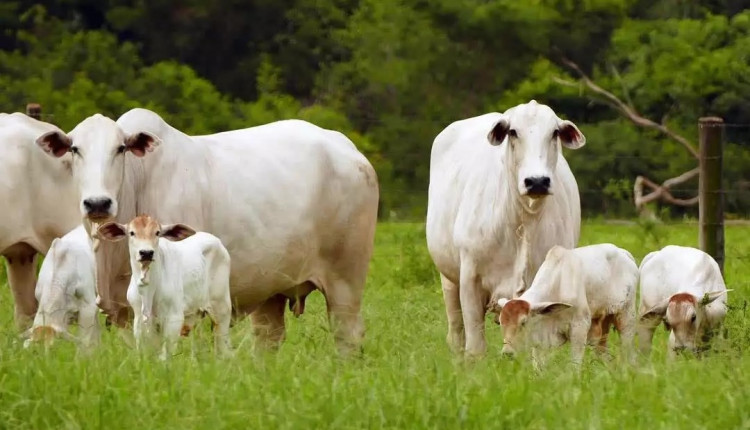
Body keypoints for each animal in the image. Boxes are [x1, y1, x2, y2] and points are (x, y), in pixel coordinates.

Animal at [98, 215, 232, 360]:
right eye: (132, 232)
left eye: (157, 232)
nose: (146, 253)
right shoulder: (140, 318)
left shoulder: (174, 318)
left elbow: (165, 356)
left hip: (221, 308)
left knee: (223, 343)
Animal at [428, 101, 588, 356]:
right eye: (513, 132)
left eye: (554, 133)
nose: (537, 181)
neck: (522, 220)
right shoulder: (470, 279)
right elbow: (475, 347)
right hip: (449, 279)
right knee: (456, 333)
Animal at [496, 244, 636, 368]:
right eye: (501, 323)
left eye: (523, 322)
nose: (507, 353)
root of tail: (624, 253)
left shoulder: (580, 327)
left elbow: (574, 364)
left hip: (626, 318)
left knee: (628, 351)